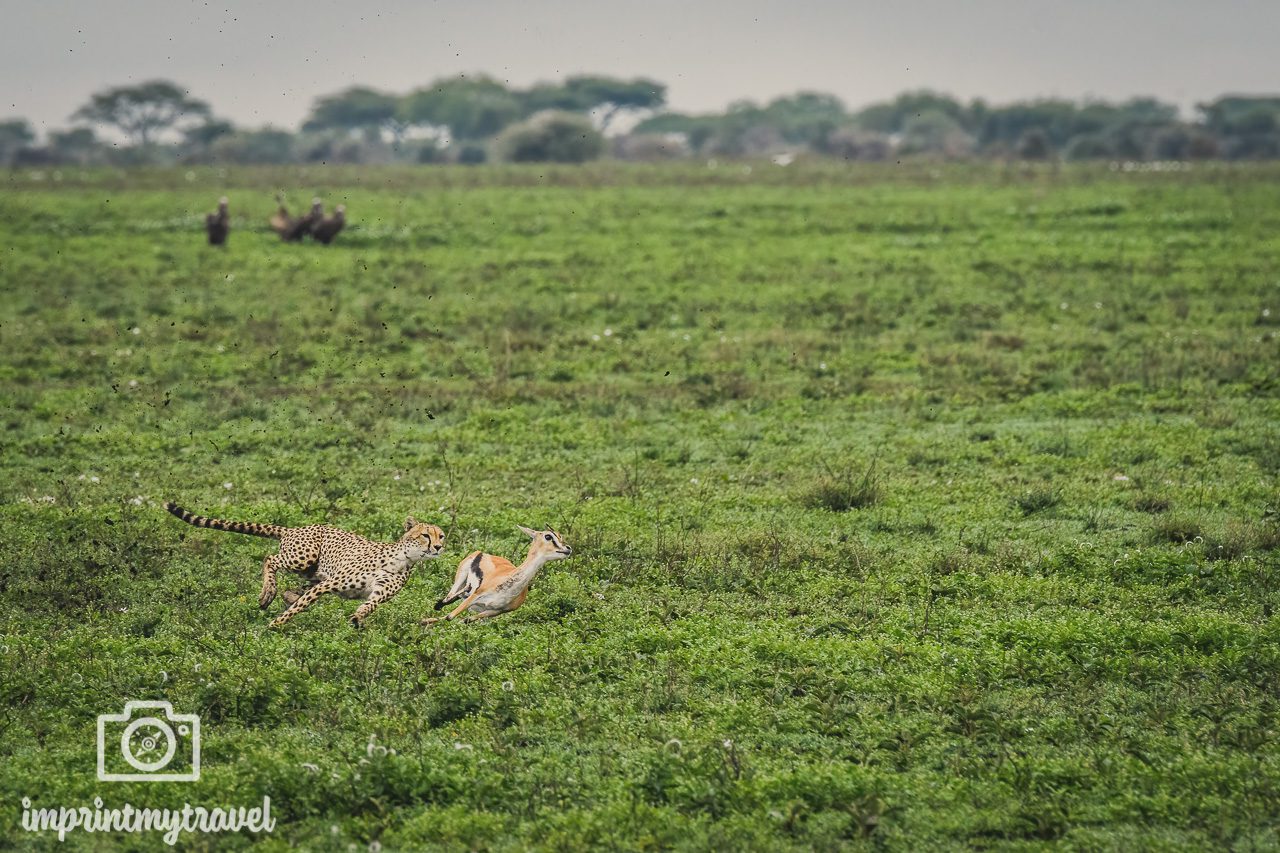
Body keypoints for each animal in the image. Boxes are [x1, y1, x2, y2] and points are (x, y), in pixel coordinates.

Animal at [165, 499, 445, 625]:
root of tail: (294, 528)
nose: (439, 547)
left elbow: (369, 605)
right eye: (425, 535)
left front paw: (358, 617)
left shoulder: (376, 593)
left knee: (295, 586)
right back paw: (268, 593)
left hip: (312, 572)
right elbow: (299, 607)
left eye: (441, 535)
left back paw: (284, 594)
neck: (402, 559)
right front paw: (275, 625)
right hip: (303, 558)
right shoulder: (330, 583)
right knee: (271, 559)